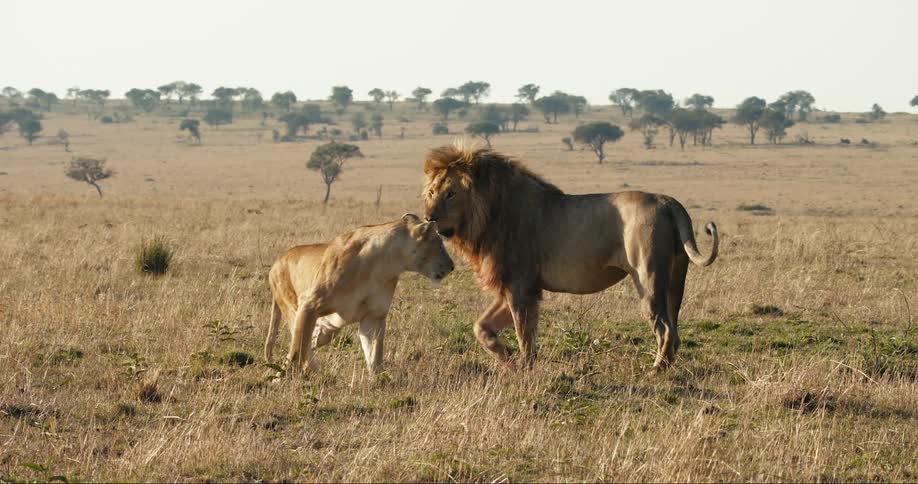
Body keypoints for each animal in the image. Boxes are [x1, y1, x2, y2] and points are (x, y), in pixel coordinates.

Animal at [264, 214, 454, 375]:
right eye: (440, 245)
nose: (452, 266)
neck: (384, 264)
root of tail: (277, 260)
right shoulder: (310, 303)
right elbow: (297, 346)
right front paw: (284, 375)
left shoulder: (374, 316)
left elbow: (374, 351)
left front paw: (379, 379)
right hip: (291, 307)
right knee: (301, 340)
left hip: (328, 327)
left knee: (314, 339)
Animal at [422, 145, 718, 370]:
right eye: (432, 193)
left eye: (451, 194)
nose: (428, 218)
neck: (487, 216)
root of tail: (668, 202)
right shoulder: (517, 288)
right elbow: (481, 327)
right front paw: (505, 356)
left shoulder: (520, 288)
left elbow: (524, 335)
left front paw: (524, 366)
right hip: (675, 281)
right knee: (675, 330)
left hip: (648, 278)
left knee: (665, 329)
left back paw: (655, 370)